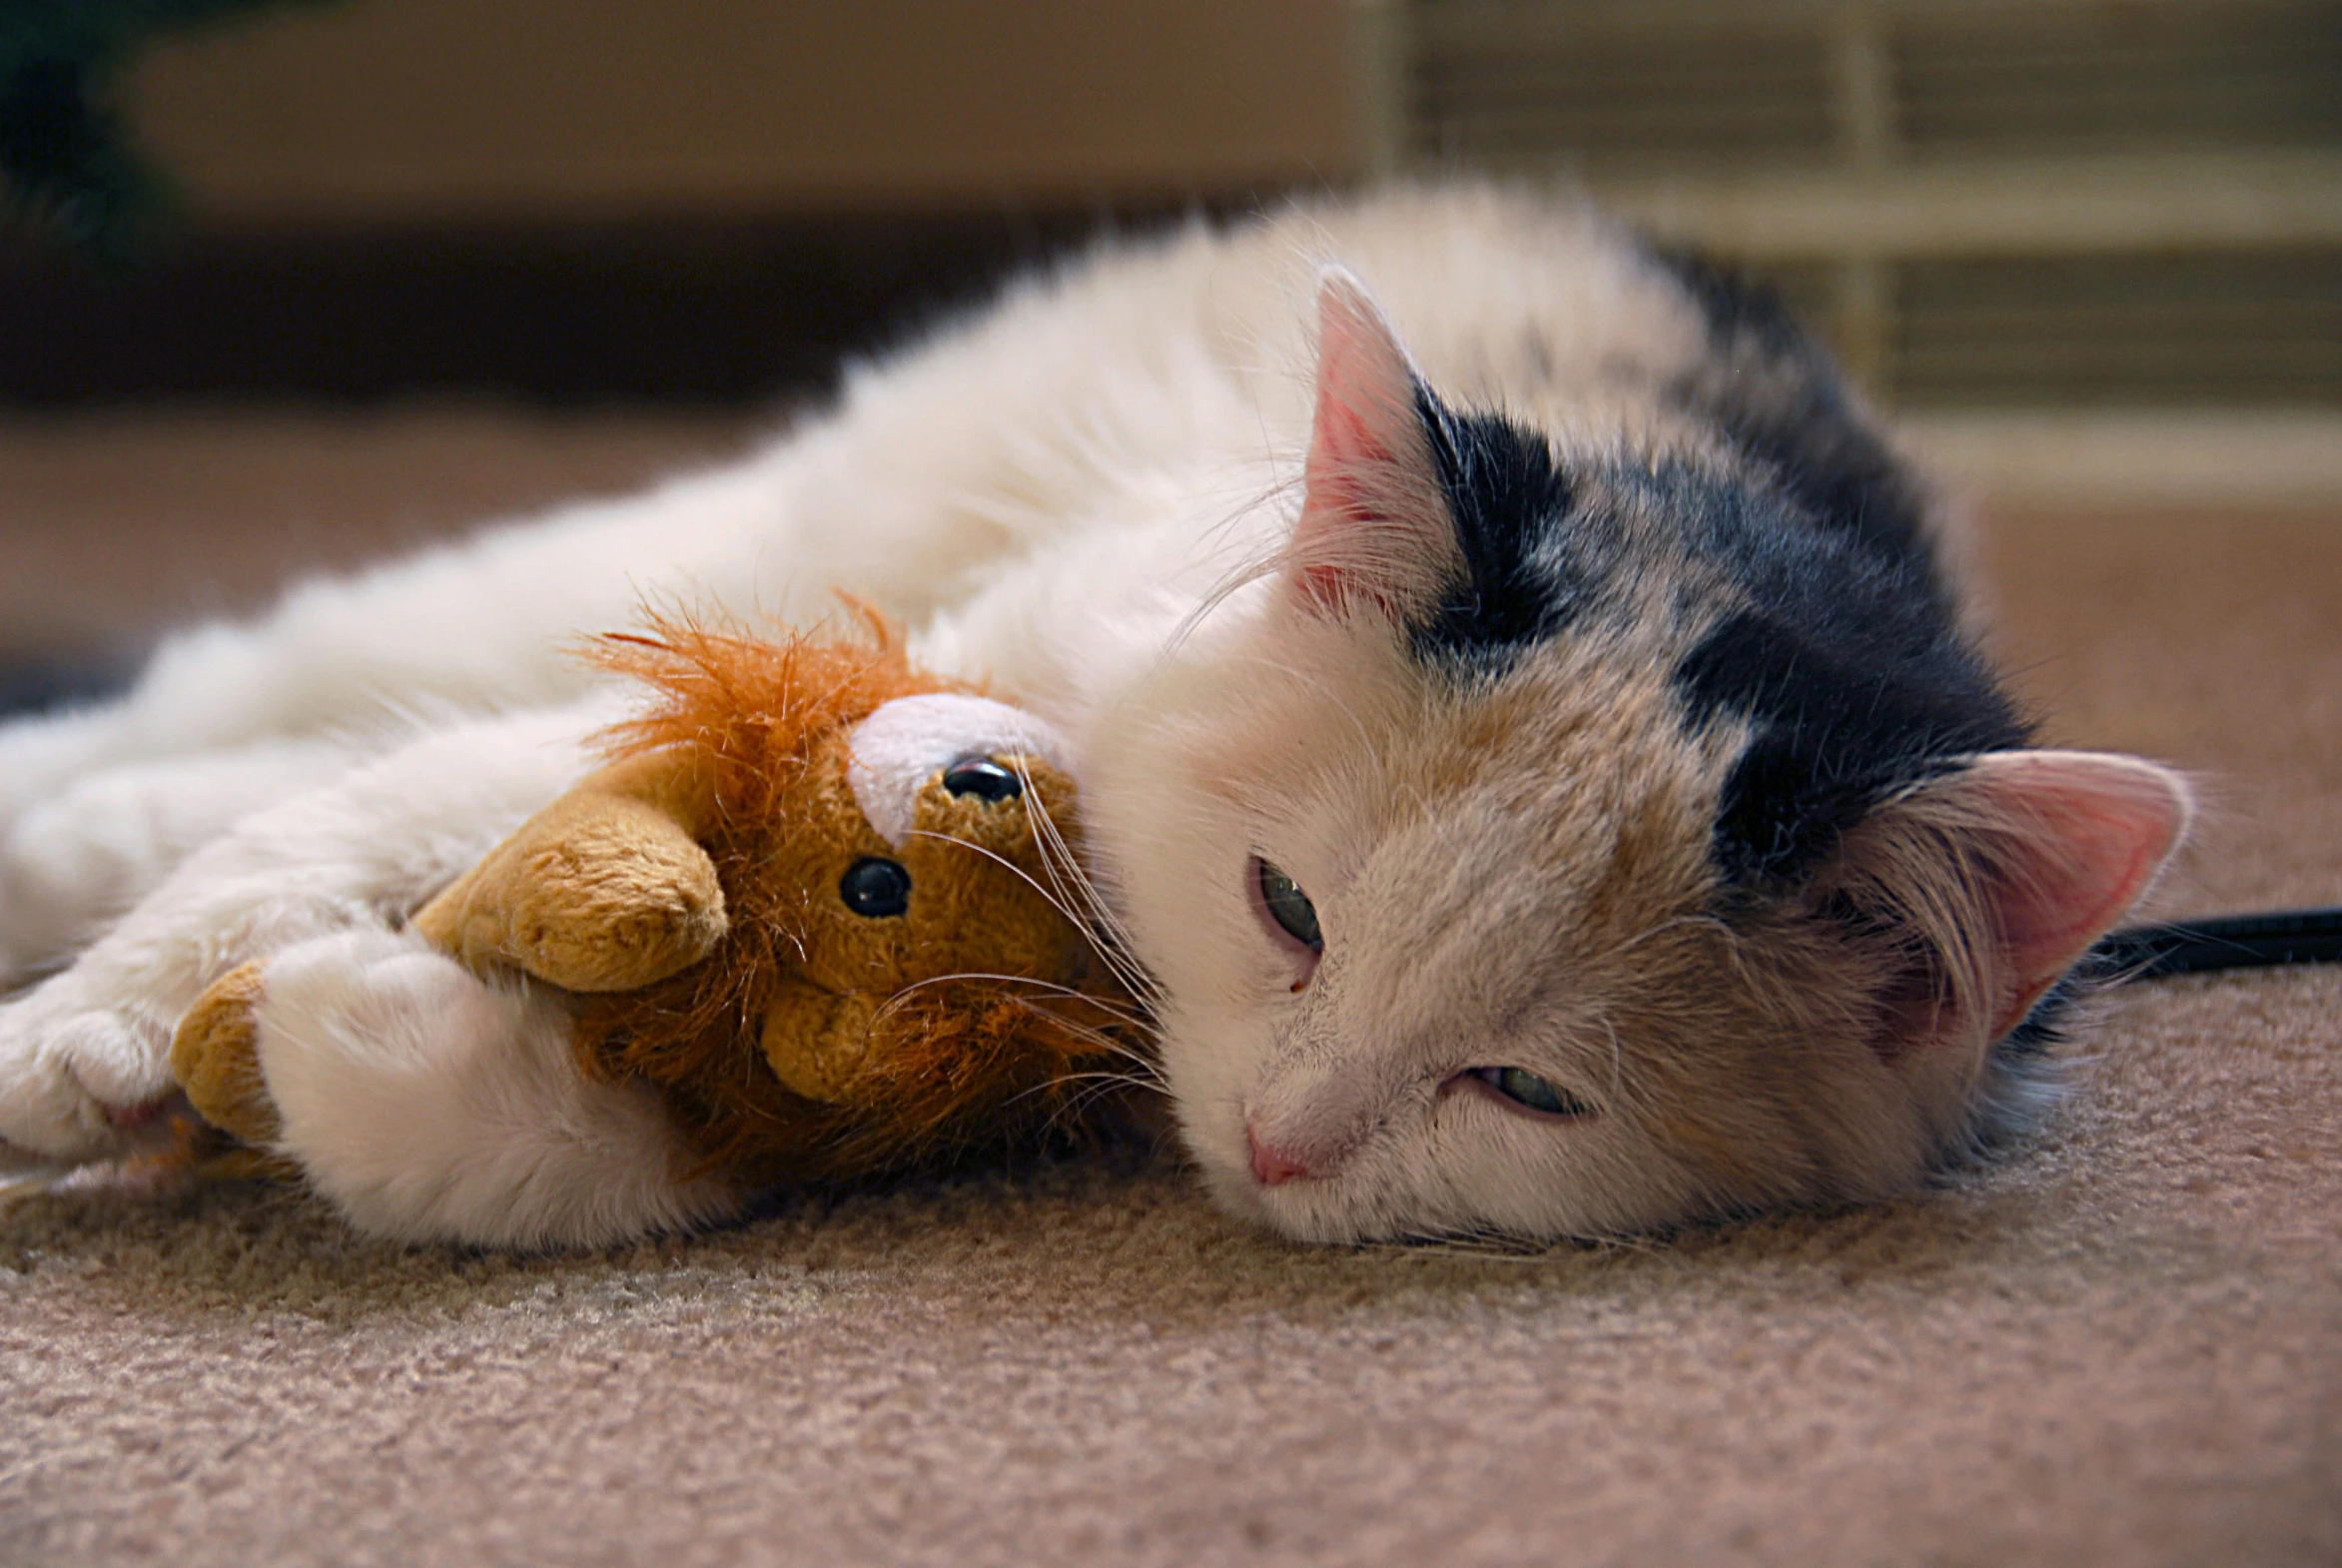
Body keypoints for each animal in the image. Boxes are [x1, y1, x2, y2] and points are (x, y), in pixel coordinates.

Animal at [0, 185, 2173, 1244]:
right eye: (1286, 911)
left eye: (1527, 1092)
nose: (1282, 1150)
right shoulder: (964, 673)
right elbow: (377, 808)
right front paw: (105, 1033)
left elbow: (579, 1151)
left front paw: (326, 1045)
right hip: (752, 532)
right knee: (273, 709)